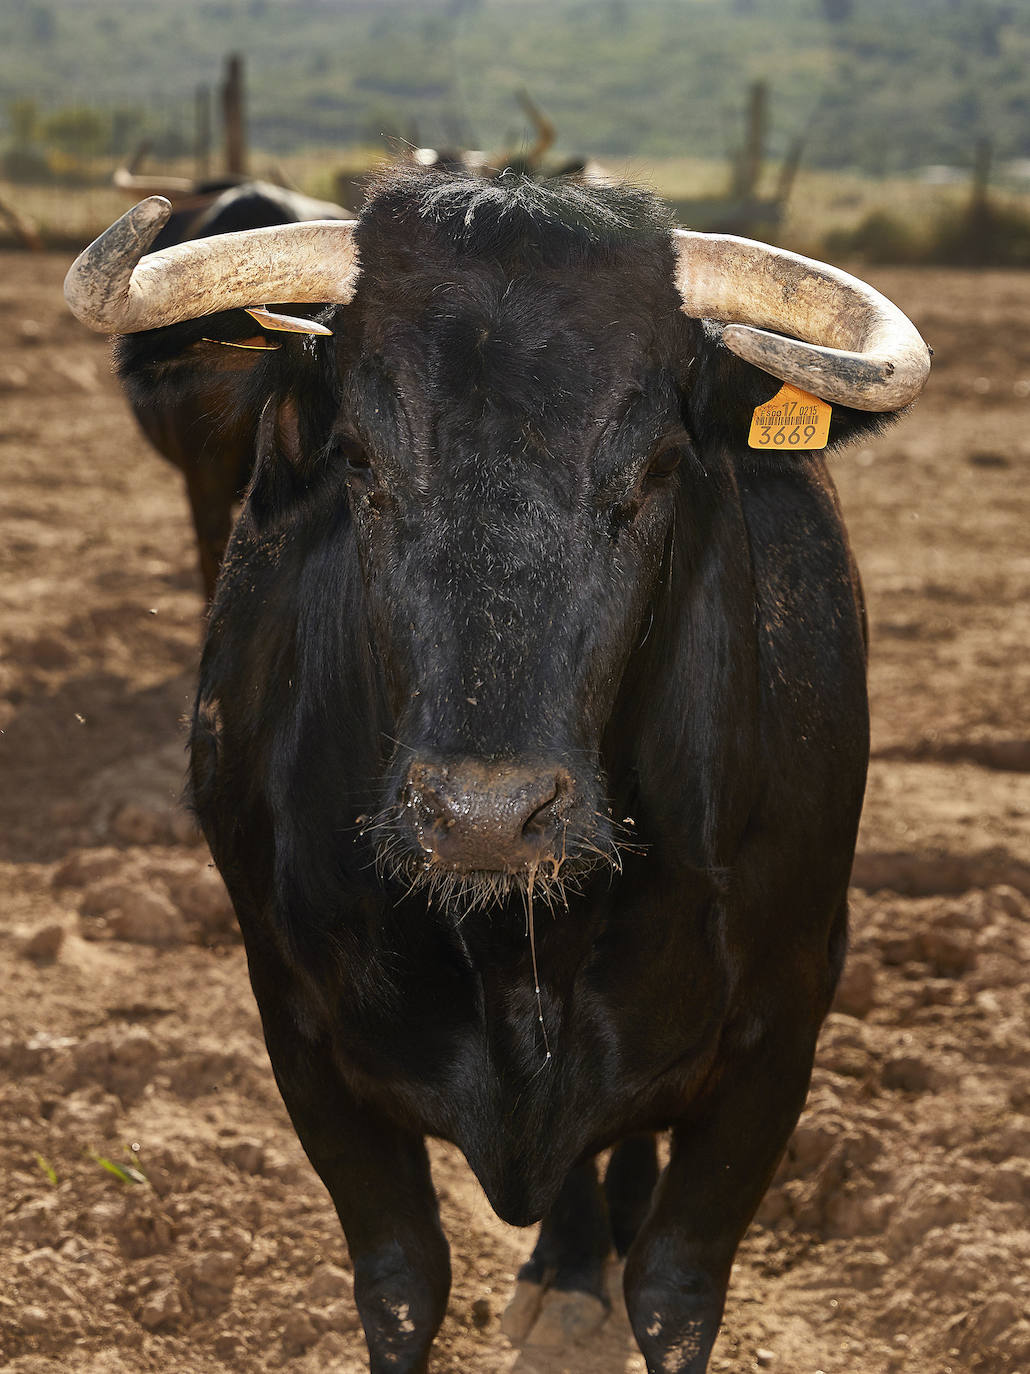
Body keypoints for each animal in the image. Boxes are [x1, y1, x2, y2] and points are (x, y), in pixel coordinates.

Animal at [103, 174, 928, 1374]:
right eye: (361, 460)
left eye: (653, 469)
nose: (486, 816)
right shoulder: (300, 1035)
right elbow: (402, 1284)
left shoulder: (782, 1027)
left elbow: (676, 1294)